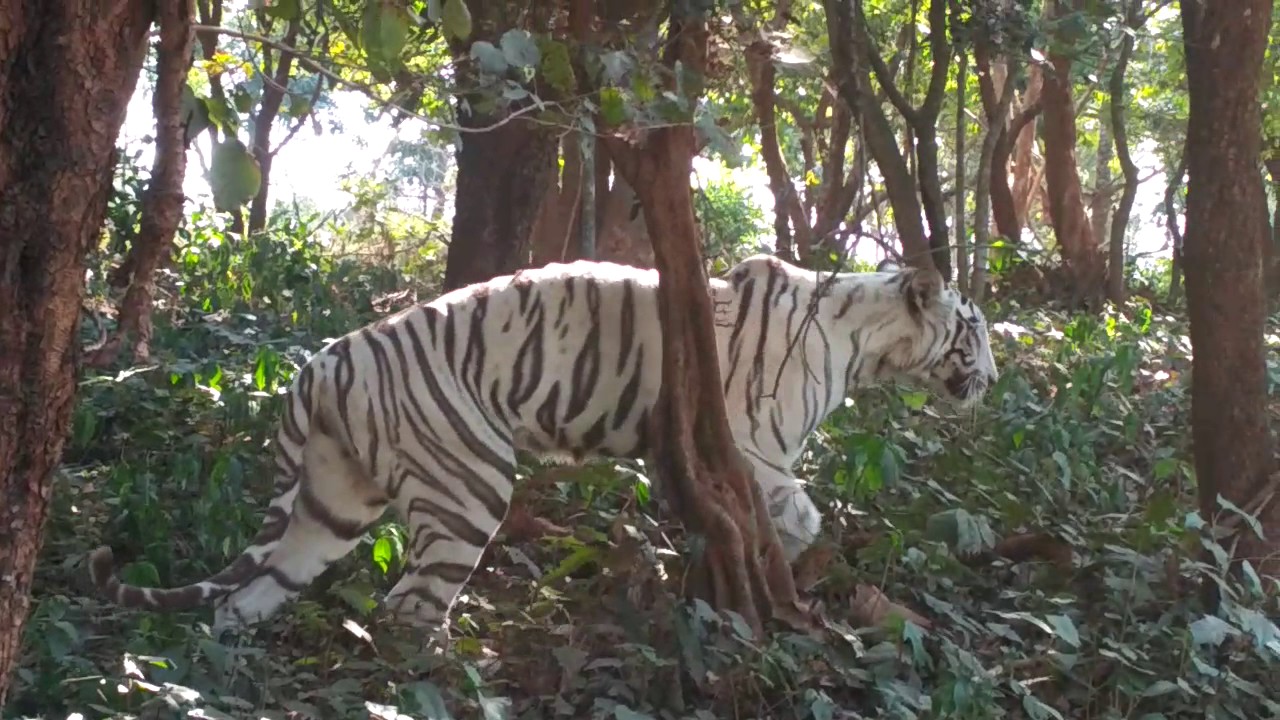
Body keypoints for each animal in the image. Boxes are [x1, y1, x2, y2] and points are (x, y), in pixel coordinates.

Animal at [90, 253, 993, 632]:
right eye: (976, 328)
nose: (990, 375)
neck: (866, 341)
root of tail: (321, 363)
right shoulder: (744, 440)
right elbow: (792, 503)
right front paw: (796, 544)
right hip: (470, 482)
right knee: (408, 607)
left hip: (333, 498)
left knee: (256, 588)